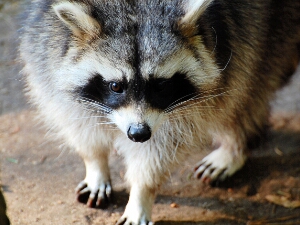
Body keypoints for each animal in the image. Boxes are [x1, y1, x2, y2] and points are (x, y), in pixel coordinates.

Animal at [19, 0, 300, 224]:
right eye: (116, 86)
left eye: (161, 85)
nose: (138, 133)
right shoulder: (45, 47)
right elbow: (74, 117)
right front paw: (95, 162)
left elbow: (161, 148)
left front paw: (141, 194)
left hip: (268, 25)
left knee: (246, 86)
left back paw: (236, 145)